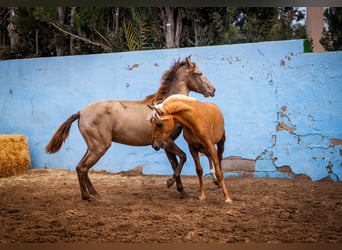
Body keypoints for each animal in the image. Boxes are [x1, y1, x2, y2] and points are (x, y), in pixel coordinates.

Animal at [44, 55, 216, 200]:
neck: (167, 107)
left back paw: (95, 193)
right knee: (82, 168)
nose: (212, 90)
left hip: (92, 147)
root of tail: (81, 112)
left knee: (82, 167)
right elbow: (183, 158)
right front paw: (170, 182)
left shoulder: (166, 144)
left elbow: (175, 163)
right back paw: (87, 197)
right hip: (99, 147)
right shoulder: (167, 142)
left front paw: (181, 191)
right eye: (199, 73)